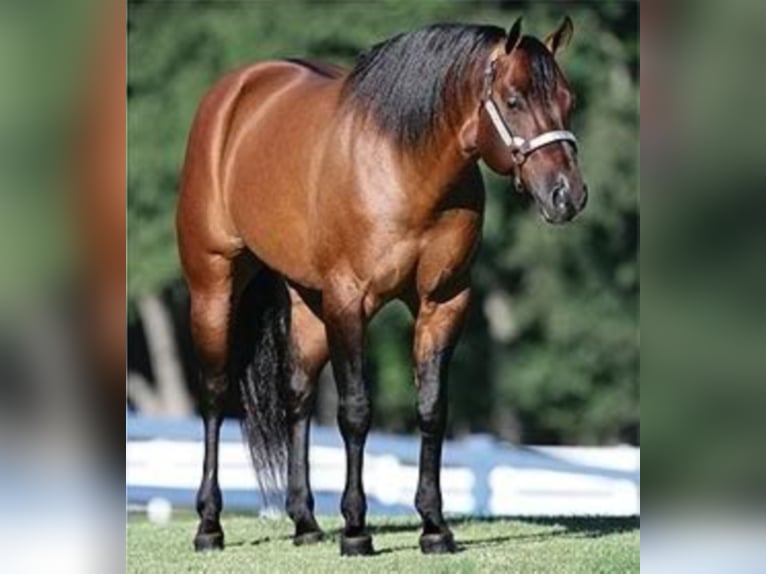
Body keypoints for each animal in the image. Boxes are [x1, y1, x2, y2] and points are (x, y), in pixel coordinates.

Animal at [176, 16, 587, 557]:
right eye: (515, 99)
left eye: (567, 99)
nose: (568, 195)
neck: (406, 167)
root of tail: (235, 92)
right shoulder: (350, 301)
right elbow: (355, 410)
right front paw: (355, 529)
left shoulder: (443, 303)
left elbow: (432, 409)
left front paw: (434, 526)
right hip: (214, 286)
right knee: (214, 395)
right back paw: (209, 525)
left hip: (307, 300)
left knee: (297, 397)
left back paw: (305, 522)